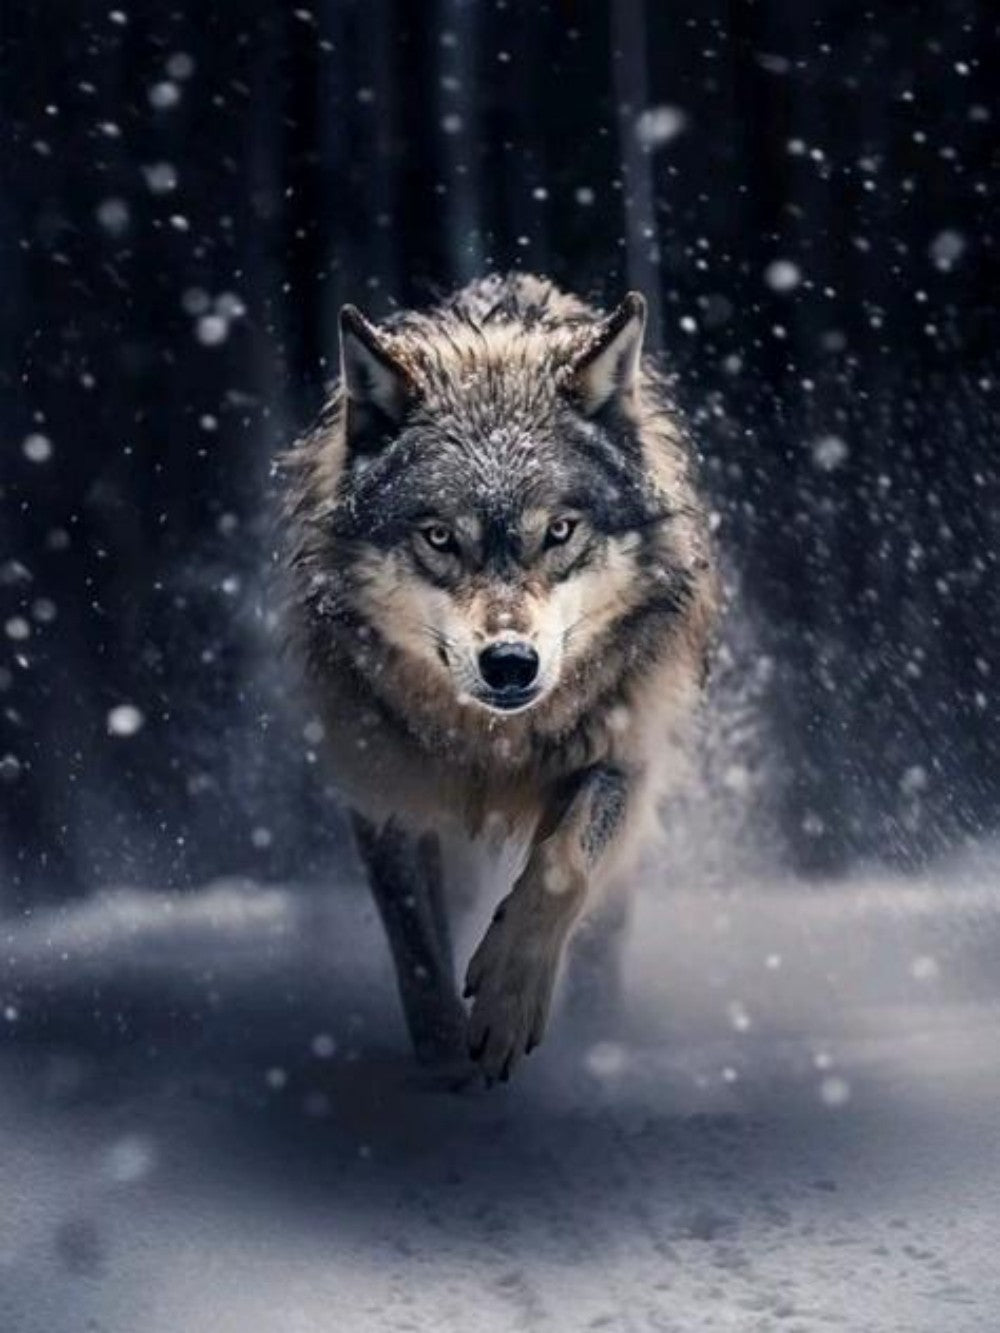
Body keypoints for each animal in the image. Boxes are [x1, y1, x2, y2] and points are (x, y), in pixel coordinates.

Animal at [282, 273, 718, 1083]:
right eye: (438, 537)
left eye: (560, 531)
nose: (511, 663)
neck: (493, 742)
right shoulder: (384, 791)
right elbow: (417, 948)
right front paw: (443, 1064)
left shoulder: (624, 756)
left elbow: (560, 867)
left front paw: (507, 1006)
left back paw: (603, 1034)